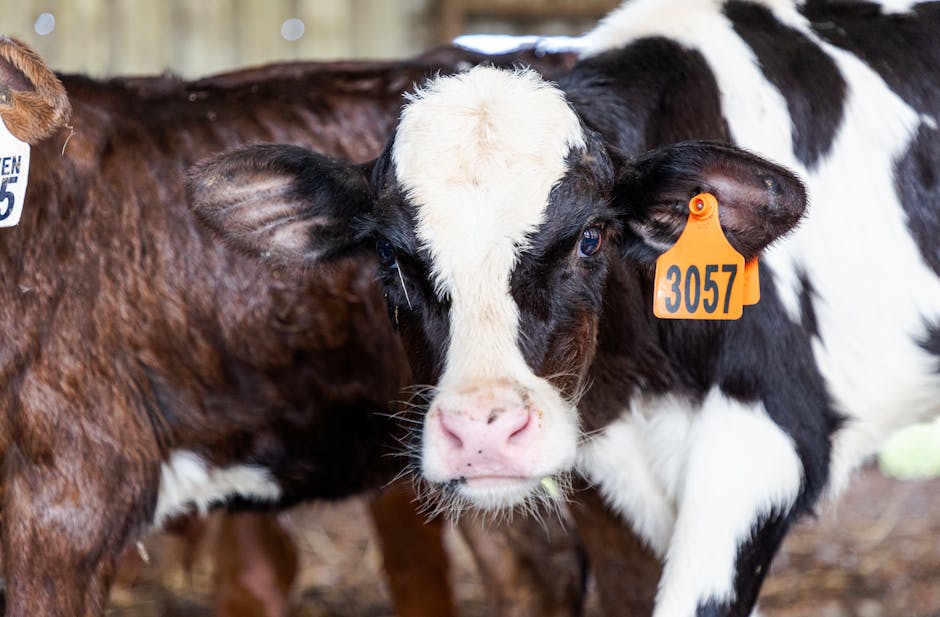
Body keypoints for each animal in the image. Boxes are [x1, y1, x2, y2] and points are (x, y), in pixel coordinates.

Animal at [191, 1, 940, 615]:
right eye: (389, 257)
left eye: (590, 238)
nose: (484, 432)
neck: (639, 382)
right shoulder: (611, 489)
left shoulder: (768, 444)